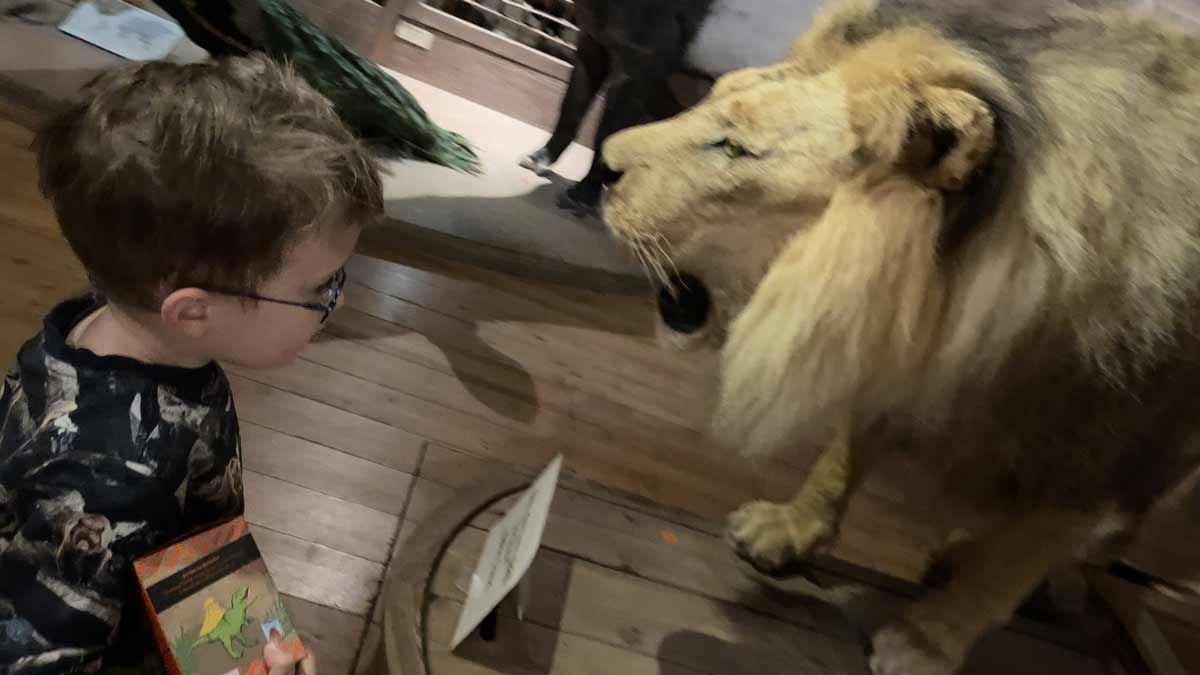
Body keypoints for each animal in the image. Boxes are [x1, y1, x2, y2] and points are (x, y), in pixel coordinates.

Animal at [604, 1, 1200, 672]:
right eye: (714, 97)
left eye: (735, 148)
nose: (601, 162)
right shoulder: (890, 344)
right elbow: (842, 457)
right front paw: (786, 531)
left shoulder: (1113, 456)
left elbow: (1009, 569)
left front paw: (925, 643)